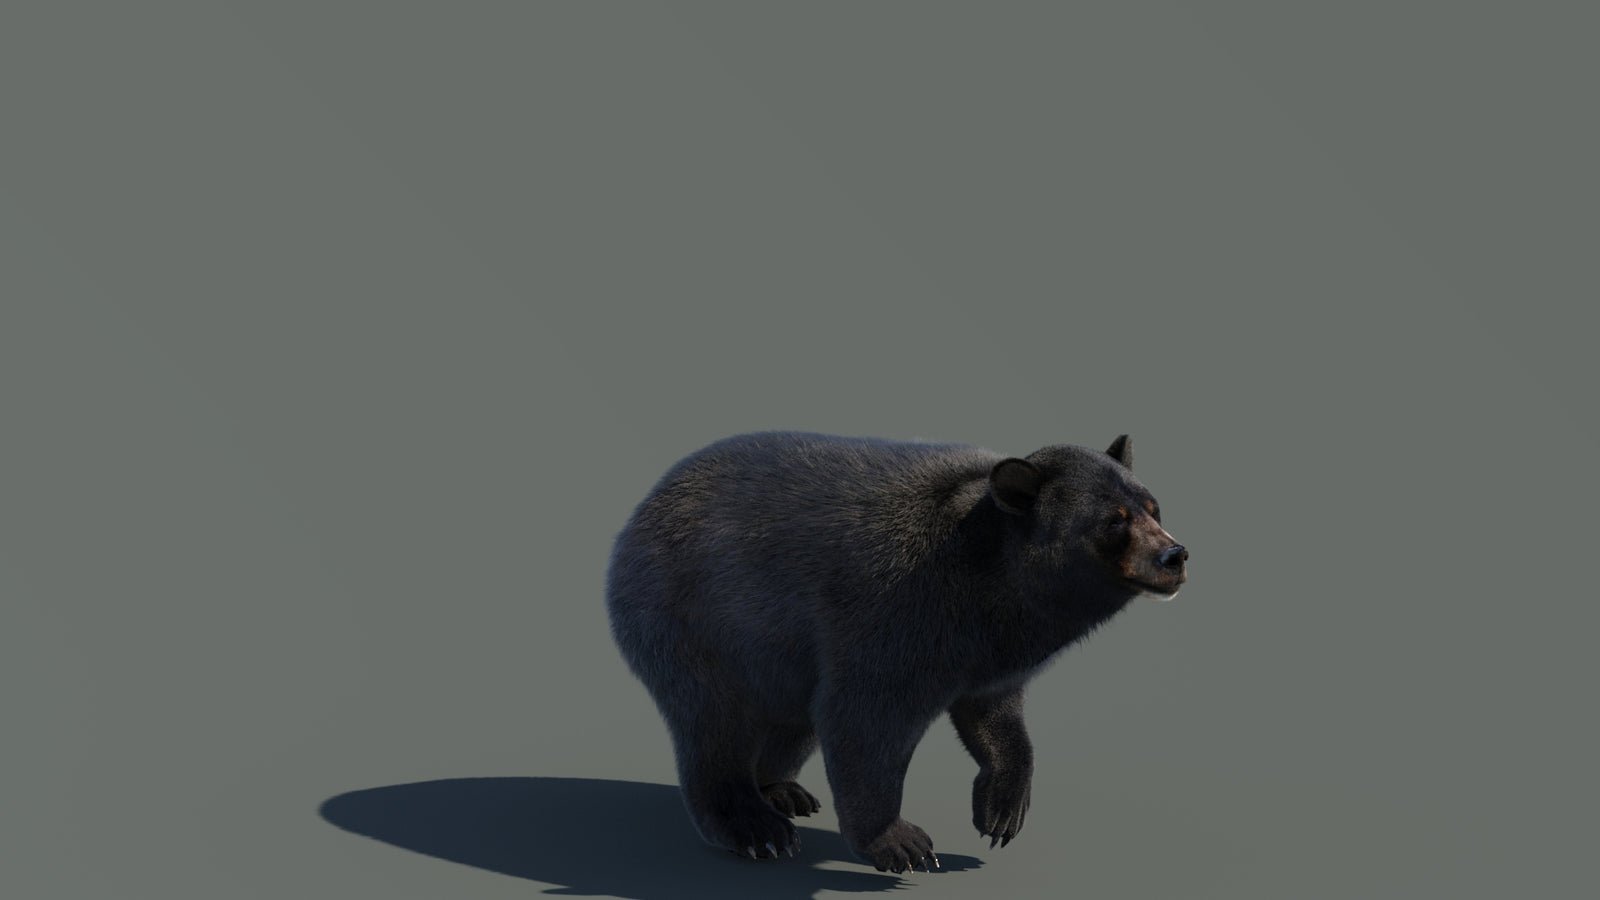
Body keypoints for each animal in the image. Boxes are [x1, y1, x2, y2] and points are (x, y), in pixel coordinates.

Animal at [605, 431, 1187, 873]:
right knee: (714, 720)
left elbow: (994, 712)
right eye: (1113, 521)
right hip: (689, 616)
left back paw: (781, 789)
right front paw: (900, 842)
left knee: (790, 720)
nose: (1175, 555)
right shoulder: (896, 612)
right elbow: (865, 718)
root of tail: (645, 505)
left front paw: (1002, 810)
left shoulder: (989, 651)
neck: (989, 584)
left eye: (1153, 507)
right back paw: (754, 826)